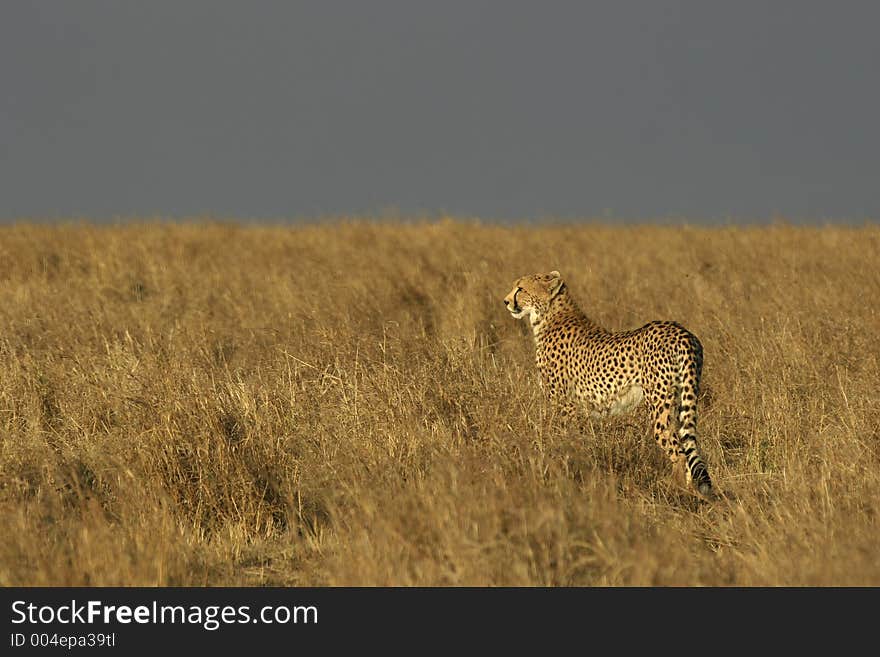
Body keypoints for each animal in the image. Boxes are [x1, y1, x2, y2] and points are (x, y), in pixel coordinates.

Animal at [502, 270, 716, 494]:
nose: (505, 301)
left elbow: (564, 437)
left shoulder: (564, 404)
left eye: (520, 289)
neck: (548, 316)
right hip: (684, 397)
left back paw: (674, 490)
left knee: (678, 451)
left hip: (659, 405)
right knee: (689, 447)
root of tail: (682, 332)